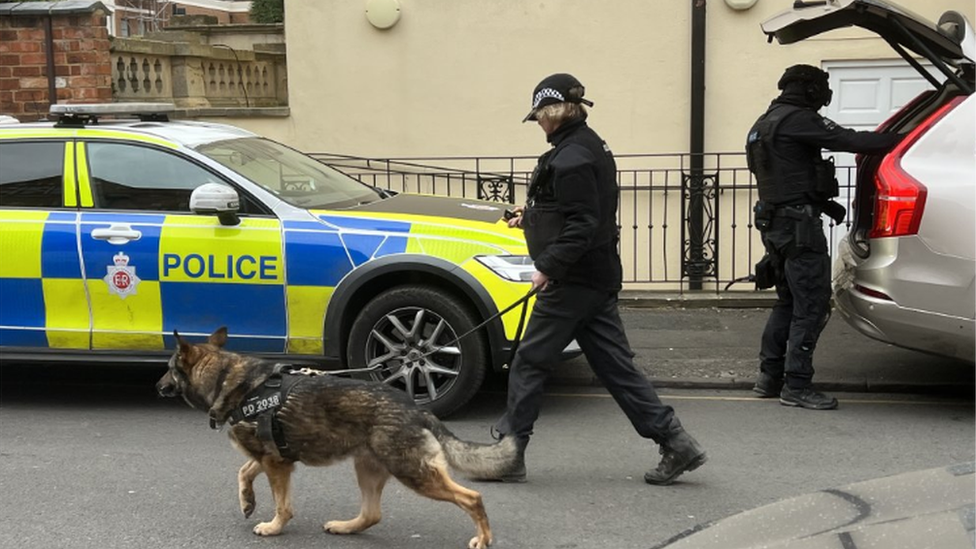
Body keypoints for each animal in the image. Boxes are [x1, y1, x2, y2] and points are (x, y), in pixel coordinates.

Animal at [154, 328, 520, 544]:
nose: (157, 386)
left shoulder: (276, 464)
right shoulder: (274, 457)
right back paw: (345, 527)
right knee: (372, 514)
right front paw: (247, 501)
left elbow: (281, 503)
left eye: (170, 369)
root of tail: (417, 410)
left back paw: (484, 539)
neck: (230, 379)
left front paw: (274, 526)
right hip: (368, 469)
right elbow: (243, 472)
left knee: (472, 498)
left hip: (413, 473)